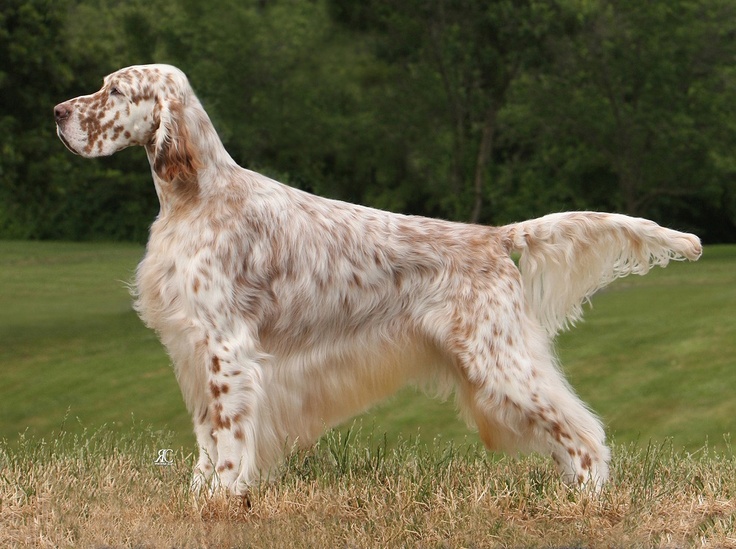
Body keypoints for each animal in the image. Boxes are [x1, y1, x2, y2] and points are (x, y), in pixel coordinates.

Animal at [54, 63, 700, 492]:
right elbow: (206, 441)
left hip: (501, 360)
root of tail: (493, 236)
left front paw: (225, 500)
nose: (57, 113)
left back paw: (587, 500)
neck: (197, 197)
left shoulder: (226, 349)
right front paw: (201, 498)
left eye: (114, 90)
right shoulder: (193, 349)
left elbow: (231, 443)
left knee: (583, 431)